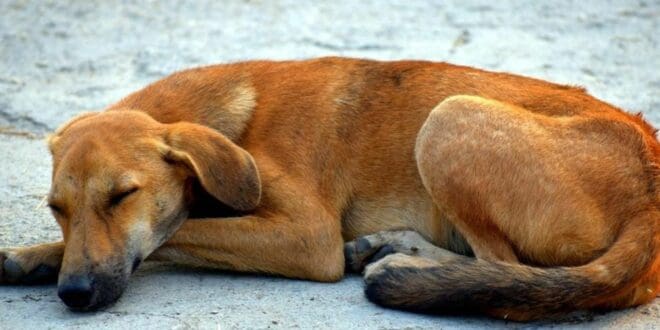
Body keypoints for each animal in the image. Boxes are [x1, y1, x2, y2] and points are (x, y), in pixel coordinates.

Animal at [1, 56, 660, 320]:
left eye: (122, 196)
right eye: (57, 209)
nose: (75, 295)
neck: (236, 122)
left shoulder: (307, 238)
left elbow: (180, 229)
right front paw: (32, 257)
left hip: (448, 119)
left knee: (510, 279)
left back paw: (415, 272)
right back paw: (396, 249)